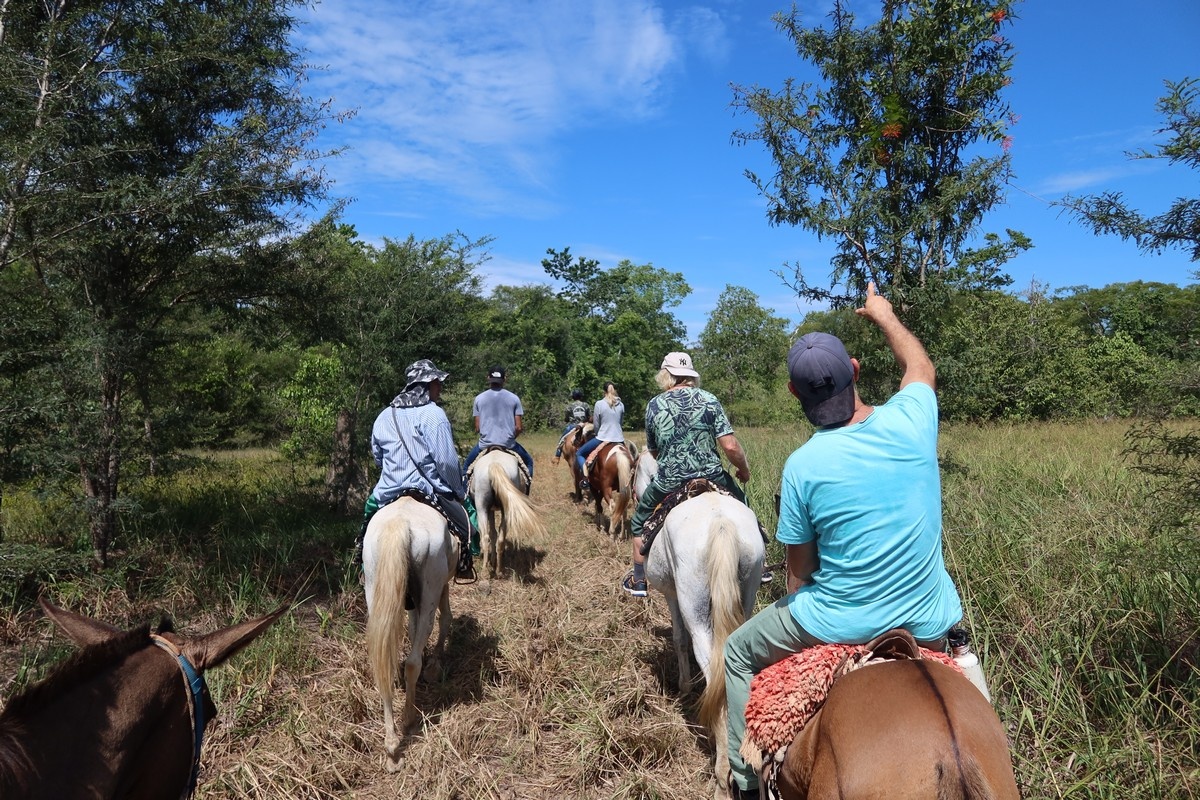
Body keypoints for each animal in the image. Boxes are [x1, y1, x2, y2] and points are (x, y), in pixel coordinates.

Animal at [360, 496, 453, 772]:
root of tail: (400, 523)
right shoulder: (441, 588)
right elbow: (444, 619)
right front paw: (435, 663)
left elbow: (413, 629)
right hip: (430, 588)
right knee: (413, 662)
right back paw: (409, 720)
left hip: (375, 586)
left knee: (384, 667)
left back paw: (391, 748)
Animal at [468, 448, 549, 578]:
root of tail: (494, 463)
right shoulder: (491, 510)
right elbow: (494, 534)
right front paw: (493, 562)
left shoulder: (490, 510)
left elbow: (493, 533)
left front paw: (492, 561)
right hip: (500, 509)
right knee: (497, 538)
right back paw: (496, 571)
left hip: (482, 507)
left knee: (487, 537)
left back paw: (490, 571)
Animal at [638, 453, 768, 796]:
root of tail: (721, 524)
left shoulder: (672, 594)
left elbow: (679, 638)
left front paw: (684, 687)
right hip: (746, 591)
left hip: (695, 606)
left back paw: (723, 777)